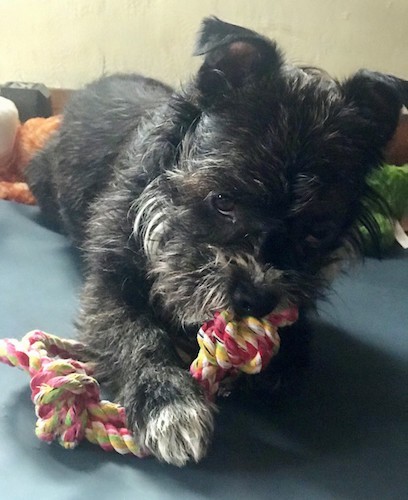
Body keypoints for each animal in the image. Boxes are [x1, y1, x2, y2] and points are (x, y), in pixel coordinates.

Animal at [25, 18, 408, 464]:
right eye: (223, 201)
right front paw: (168, 404)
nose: (256, 298)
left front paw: (283, 361)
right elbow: (137, 336)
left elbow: (297, 340)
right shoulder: (108, 284)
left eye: (317, 233)